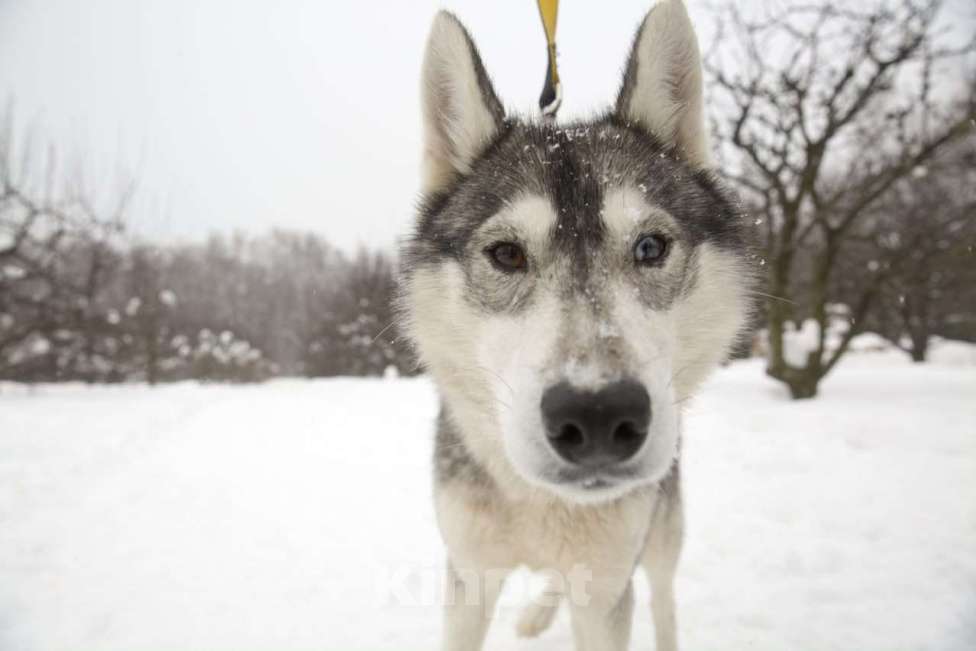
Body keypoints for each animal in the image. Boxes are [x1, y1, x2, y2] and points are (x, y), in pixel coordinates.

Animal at [400, 2, 752, 648]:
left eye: (649, 247)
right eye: (507, 254)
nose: (597, 416)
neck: (541, 505)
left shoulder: (609, 587)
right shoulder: (469, 576)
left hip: (660, 536)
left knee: (663, 597)